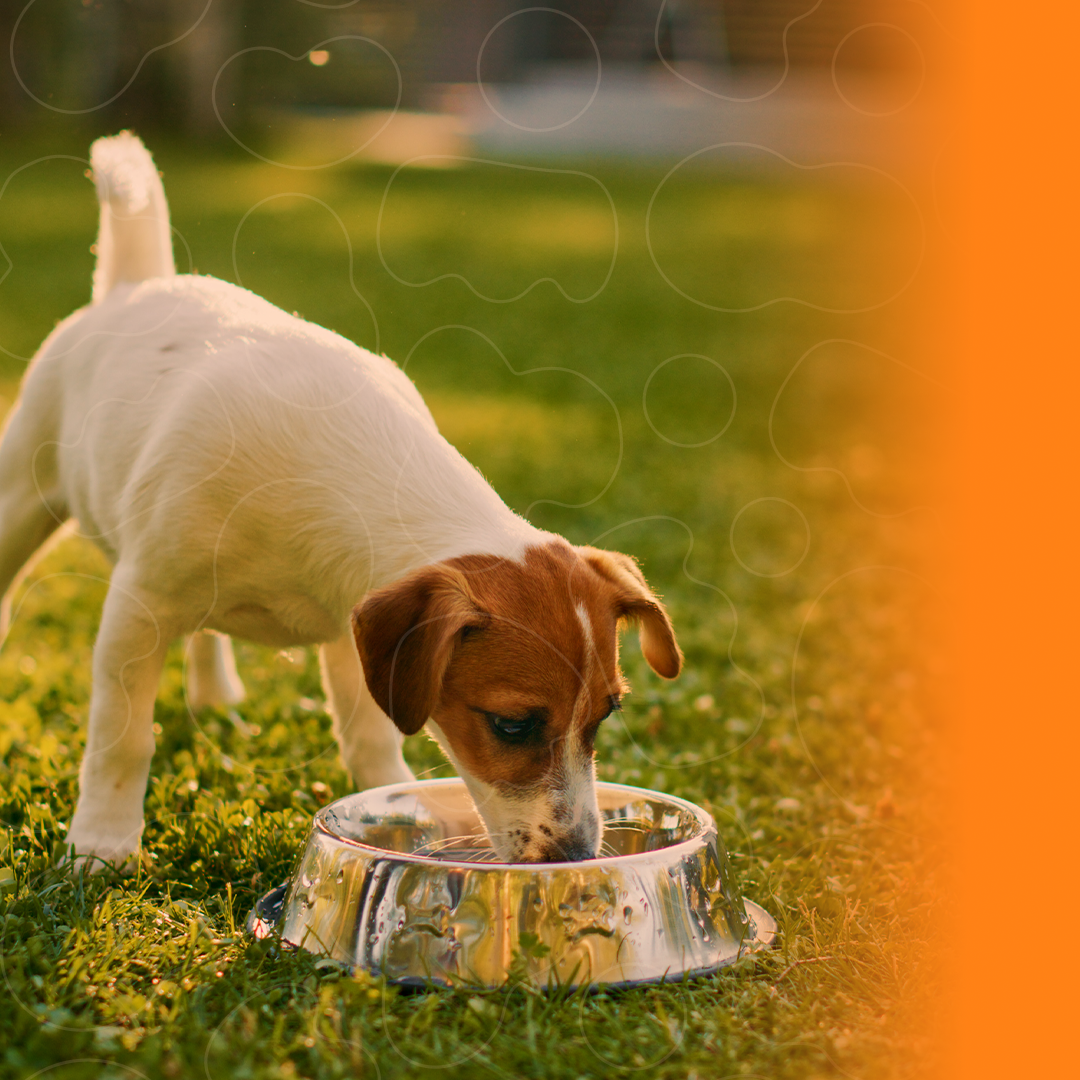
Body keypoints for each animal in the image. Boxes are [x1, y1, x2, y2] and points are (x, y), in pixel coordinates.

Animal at [0, 132, 682, 868]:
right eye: (511, 724)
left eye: (607, 714)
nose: (580, 854)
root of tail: (136, 284)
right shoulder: (137, 611)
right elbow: (122, 740)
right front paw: (101, 848)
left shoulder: (353, 630)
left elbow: (370, 734)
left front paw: (396, 805)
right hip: (24, 491)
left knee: (206, 635)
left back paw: (214, 695)